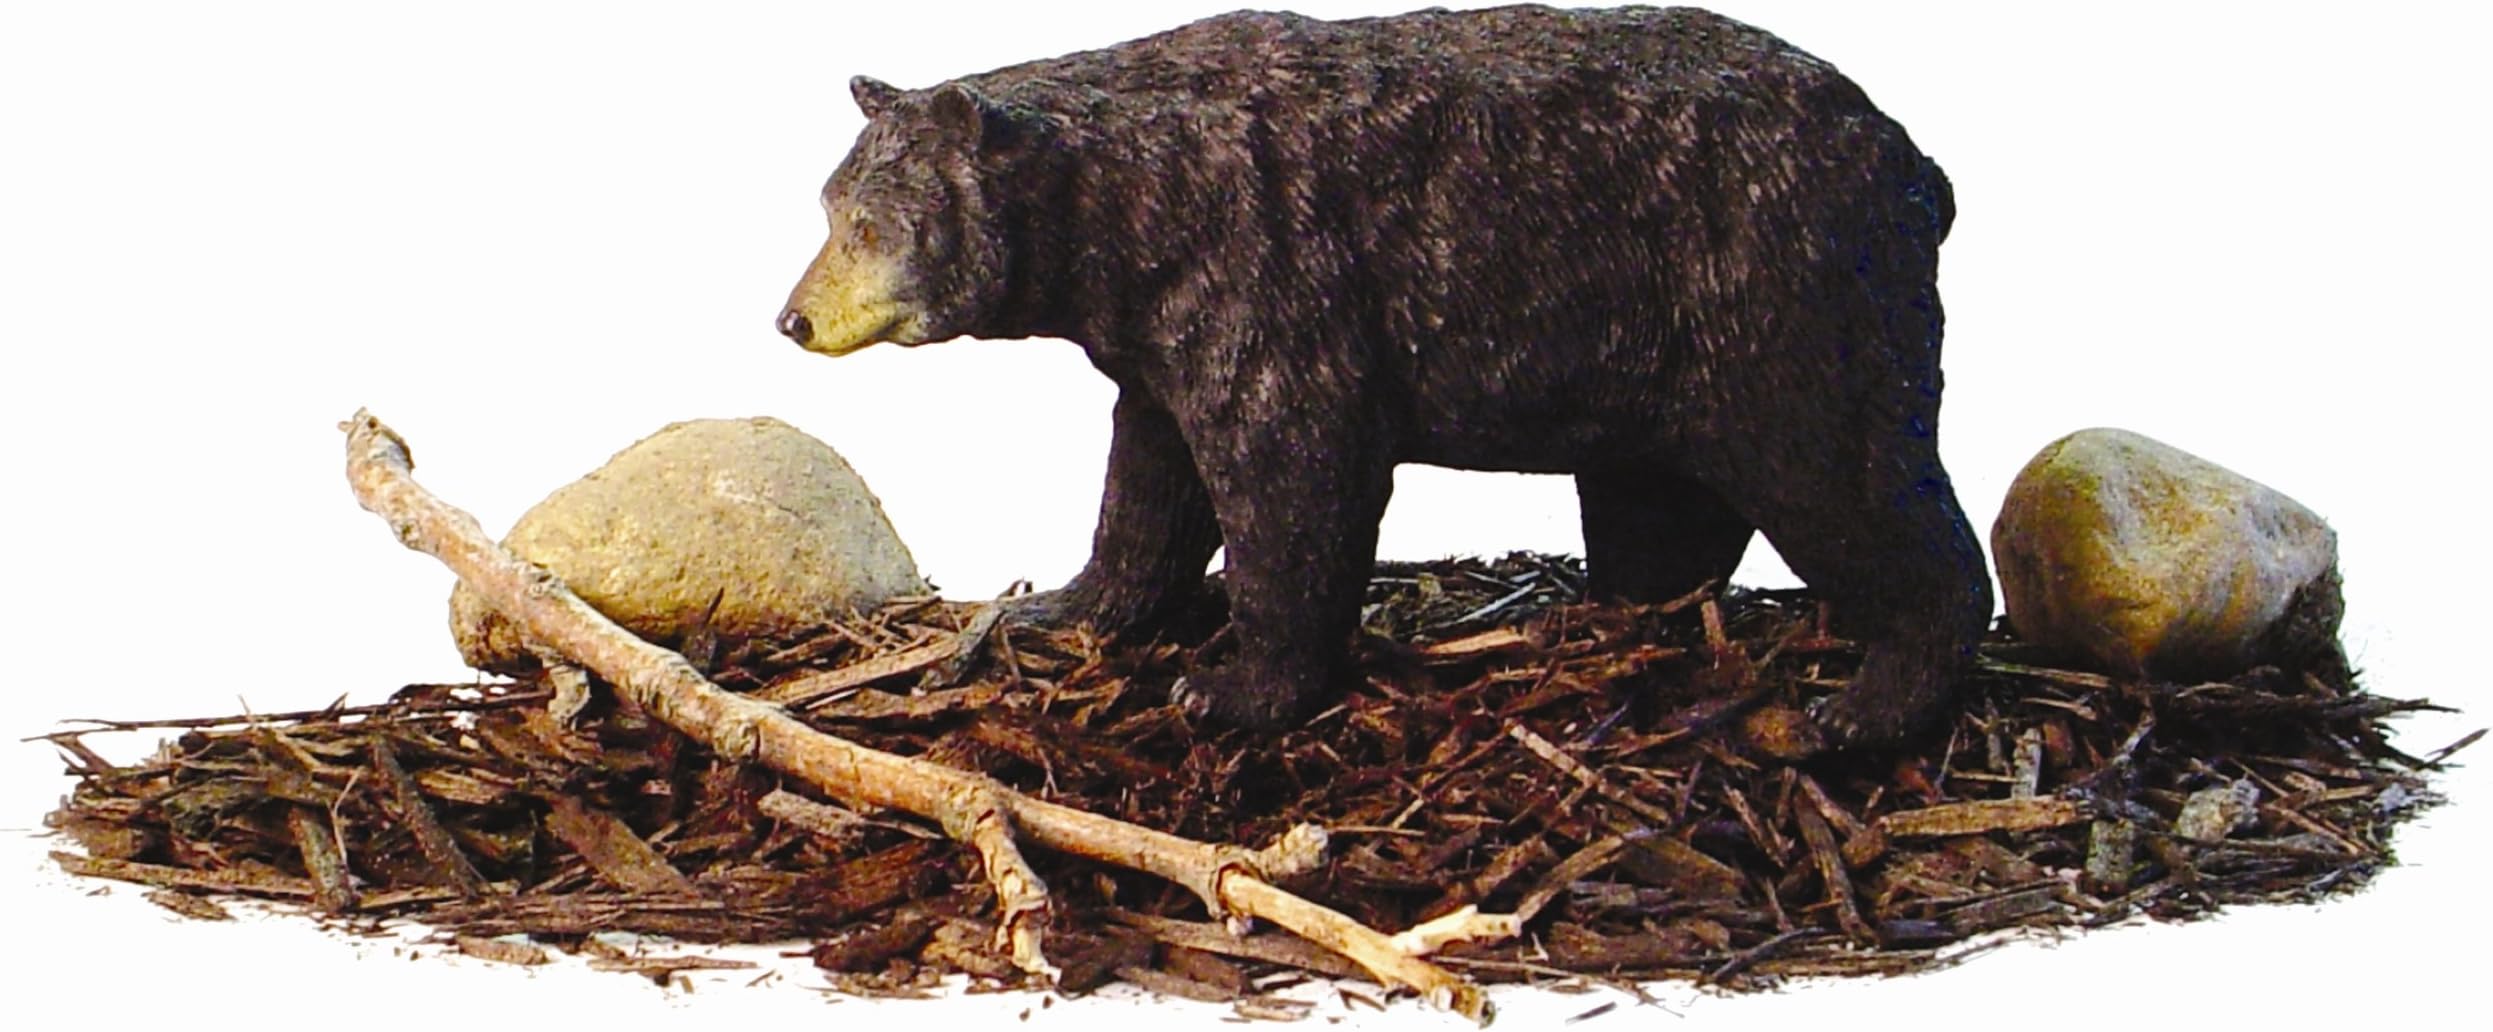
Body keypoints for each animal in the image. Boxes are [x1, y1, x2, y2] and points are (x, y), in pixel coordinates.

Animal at [776, 5, 1994, 748]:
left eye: (873, 226)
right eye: (830, 208)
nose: (792, 318)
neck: (1134, 210)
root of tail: (1913, 163)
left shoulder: (1267, 268)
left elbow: (1292, 476)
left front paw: (1231, 686)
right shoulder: (1163, 325)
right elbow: (1151, 475)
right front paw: (1058, 607)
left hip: (1779, 286)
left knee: (1841, 470)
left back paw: (1874, 701)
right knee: (1664, 491)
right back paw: (1619, 612)